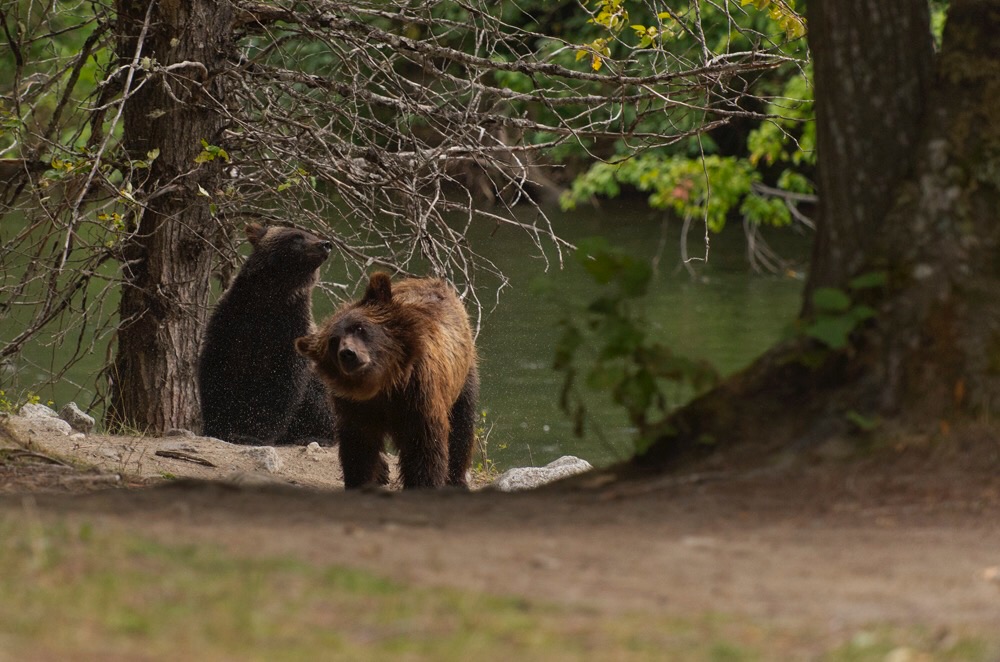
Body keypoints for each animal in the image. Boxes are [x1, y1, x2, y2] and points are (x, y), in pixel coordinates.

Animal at [198, 226, 336, 448]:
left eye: (313, 234)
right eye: (297, 236)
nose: (325, 244)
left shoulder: (290, 335)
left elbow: (282, 387)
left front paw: (253, 434)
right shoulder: (230, 326)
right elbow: (217, 372)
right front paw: (218, 426)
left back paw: (314, 437)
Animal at [294, 272, 478, 490]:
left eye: (359, 327)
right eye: (333, 341)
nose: (348, 353)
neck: (383, 384)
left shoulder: (417, 397)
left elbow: (425, 447)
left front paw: (423, 484)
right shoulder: (357, 406)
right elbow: (358, 447)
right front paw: (359, 481)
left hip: (463, 375)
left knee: (462, 424)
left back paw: (457, 479)